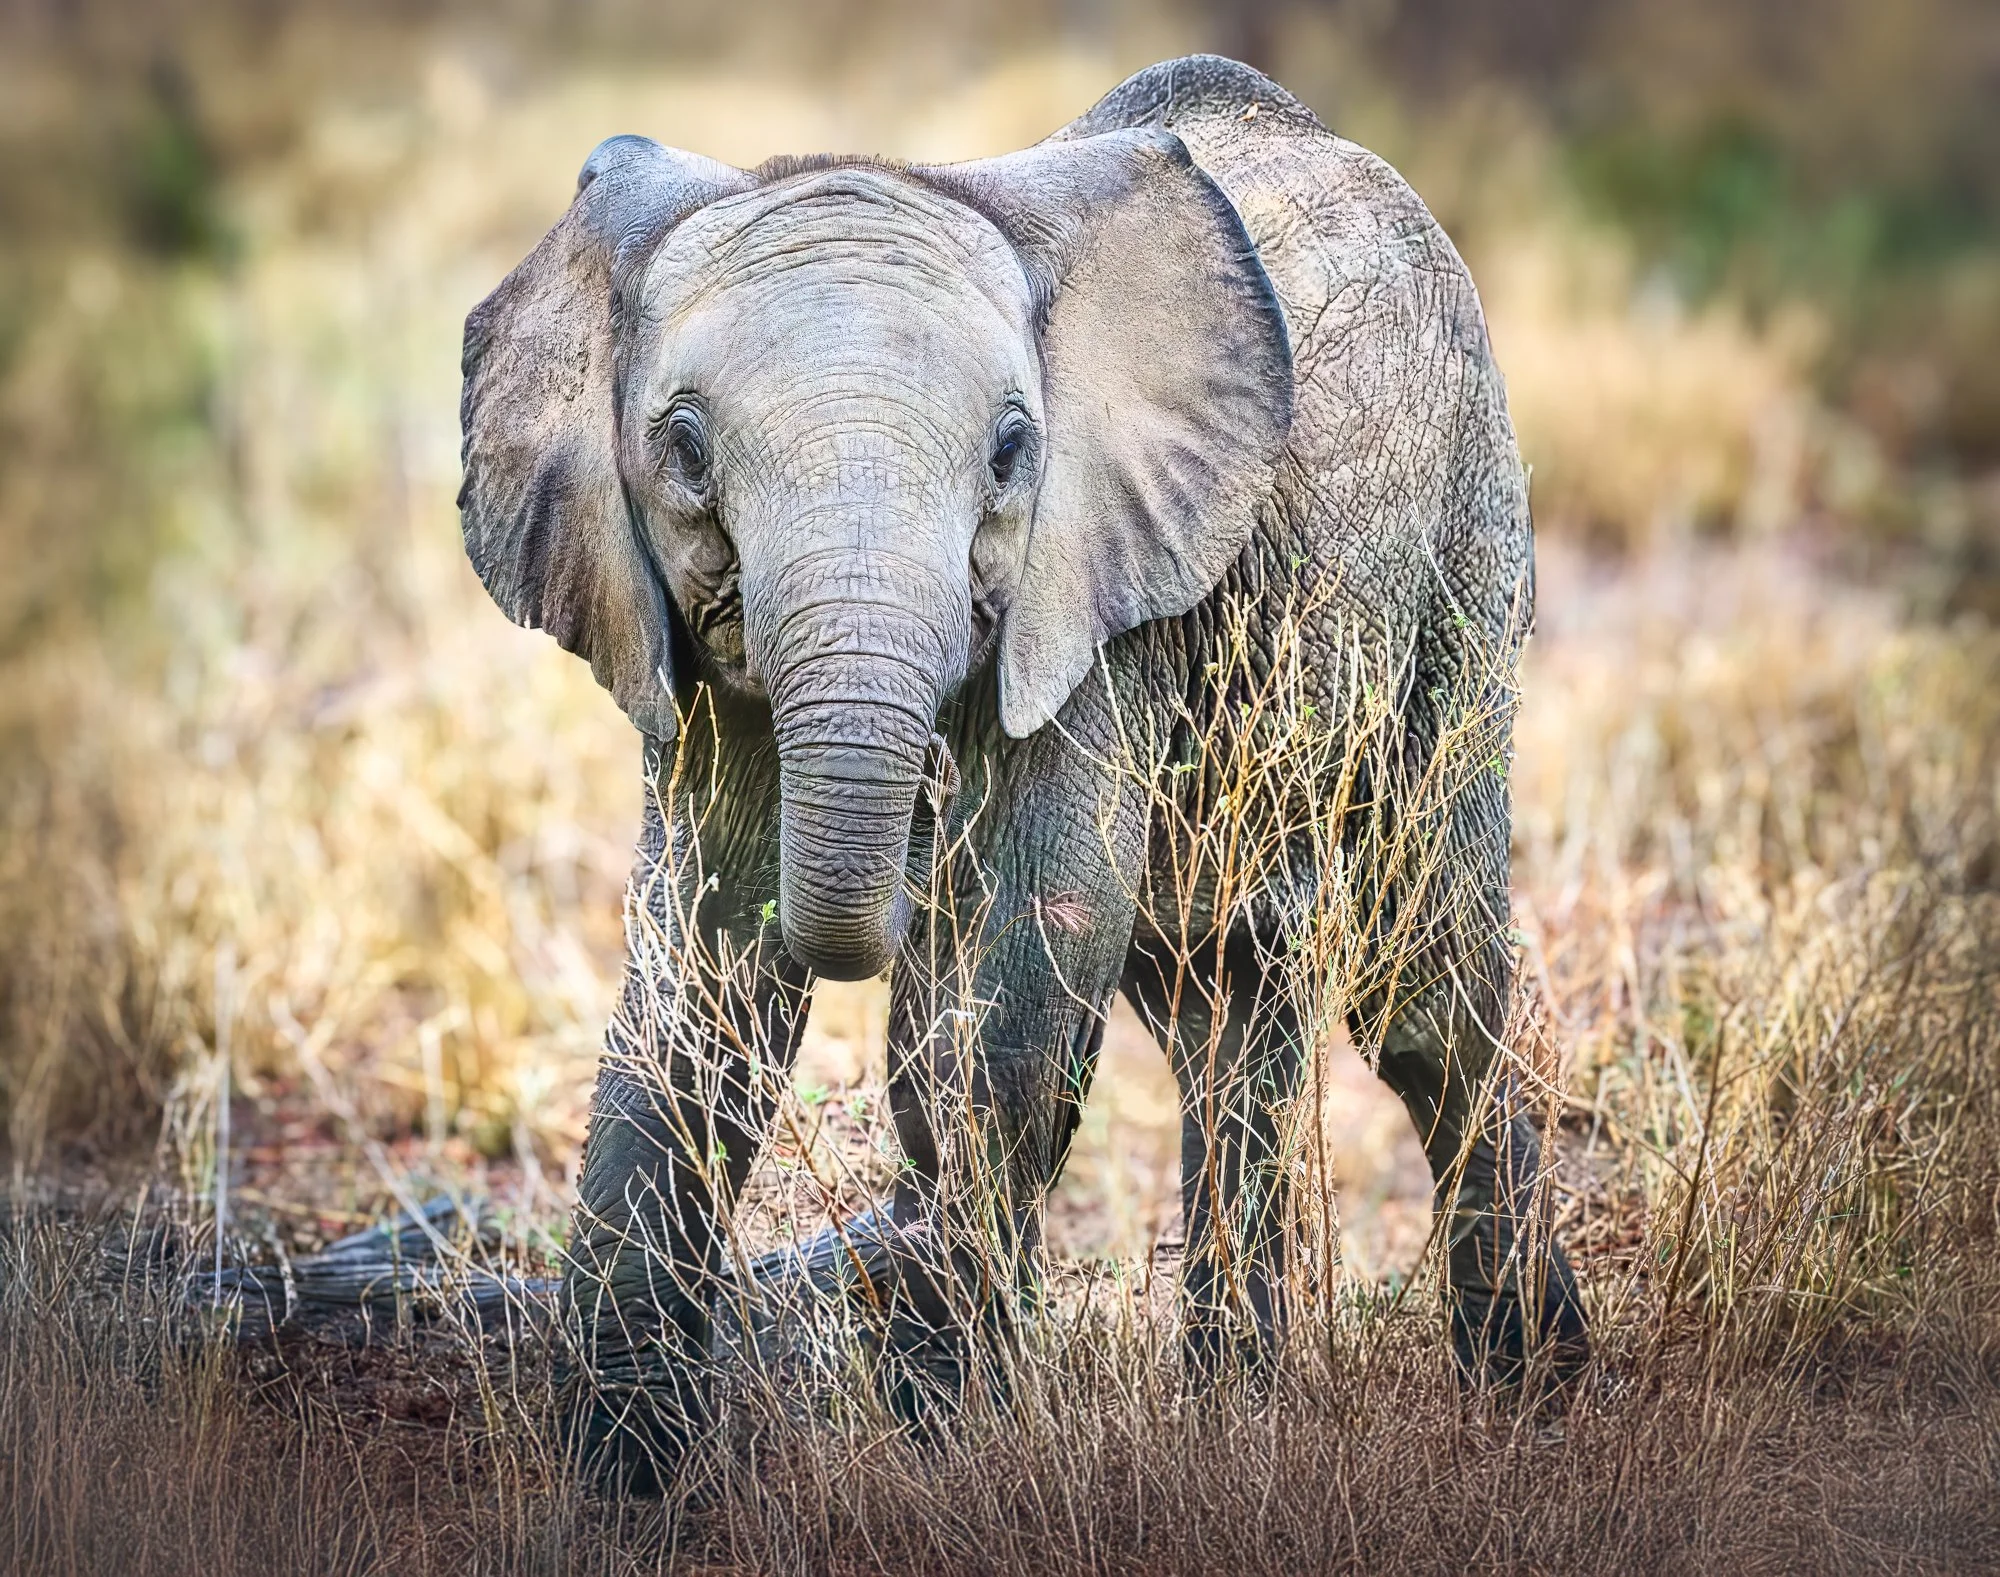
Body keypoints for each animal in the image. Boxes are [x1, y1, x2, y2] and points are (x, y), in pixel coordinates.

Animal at [459, 54, 1588, 1491]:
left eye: (1009, 450)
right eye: (685, 450)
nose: (916, 819)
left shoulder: (1096, 592)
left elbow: (1016, 991)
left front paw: (948, 1453)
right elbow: (690, 988)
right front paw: (624, 1488)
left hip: (1466, 535)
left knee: (1422, 983)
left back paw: (1535, 1395)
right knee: (1229, 999)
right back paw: (1237, 1424)